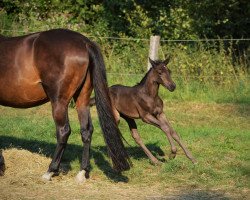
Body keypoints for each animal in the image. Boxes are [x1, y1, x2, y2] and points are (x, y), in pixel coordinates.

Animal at [0, 28, 130, 181]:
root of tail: (85, 42)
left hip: (59, 102)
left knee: (63, 131)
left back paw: (50, 171)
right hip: (82, 99)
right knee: (86, 130)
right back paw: (82, 172)